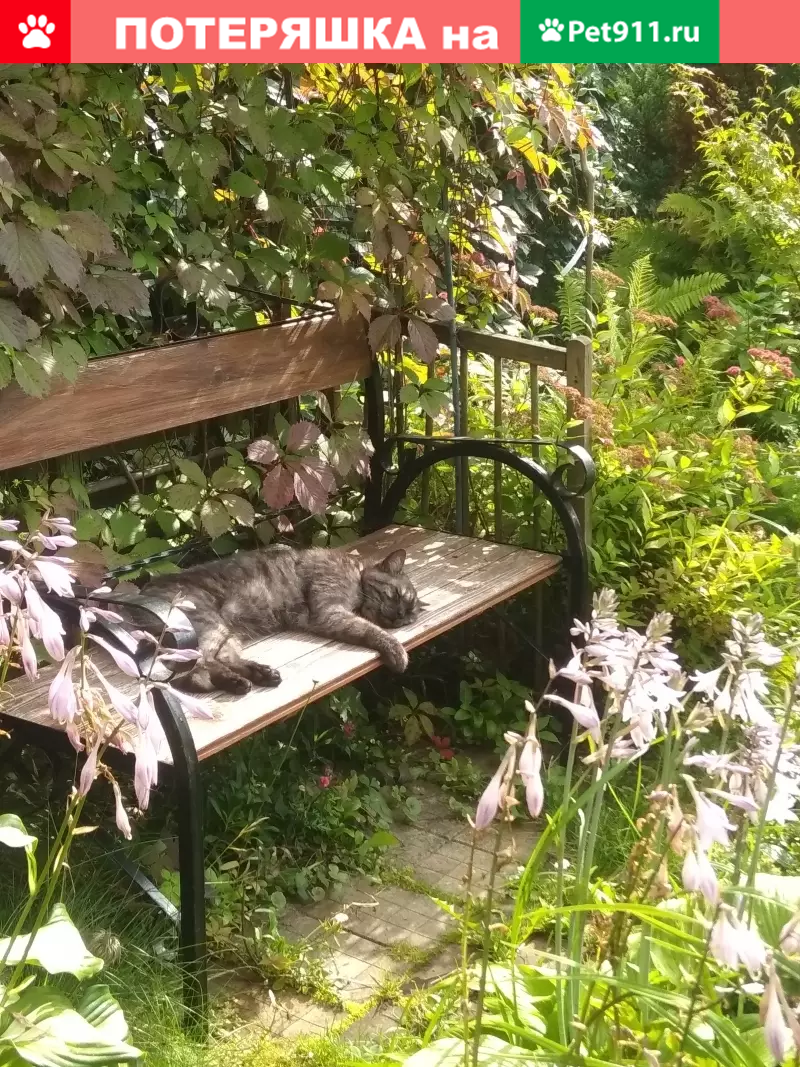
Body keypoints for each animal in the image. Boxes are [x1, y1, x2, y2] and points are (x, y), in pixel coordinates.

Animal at [141, 544, 420, 694]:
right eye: (396, 594)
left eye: (408, 616)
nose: (398, 616)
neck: (356, 574)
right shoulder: (330, 611)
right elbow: (372, 630)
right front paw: (399, 653)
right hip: (211, 625)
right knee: (198, 667)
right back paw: (244, 678)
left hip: (224, 633)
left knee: (207, 667)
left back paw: (255, 676)